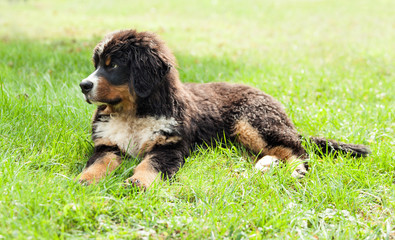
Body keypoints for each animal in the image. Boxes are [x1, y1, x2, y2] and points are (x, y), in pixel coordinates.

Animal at [78, 29, 372, 188]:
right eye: (97, 64)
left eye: (113, 65)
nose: (83, 85)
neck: (133, 112)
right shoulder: (108, 144)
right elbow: (98, 163)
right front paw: (84, 181)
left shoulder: (170, 146)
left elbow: (150, 165)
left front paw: (137, 183)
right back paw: (265, 165)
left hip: (253, 121)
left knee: (297, 149)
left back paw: (295, 169)